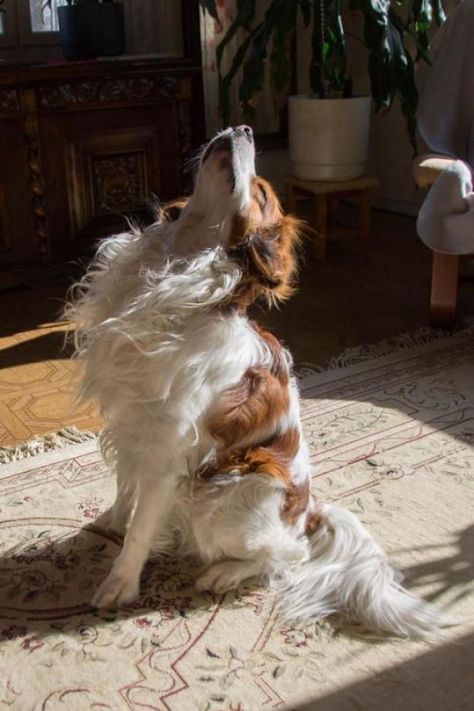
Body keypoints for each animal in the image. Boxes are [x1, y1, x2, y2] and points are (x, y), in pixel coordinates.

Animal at [69, 125, 444, 636]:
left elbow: (142, 527)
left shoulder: (166, 449)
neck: (175, 268)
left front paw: (119, 584)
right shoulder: (130, 422)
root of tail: (309, 512)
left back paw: (223, 574)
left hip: (219, 497)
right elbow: (125, 488)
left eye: (262, 192)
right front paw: (109, 521)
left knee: (288, 555)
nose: (242, 128)